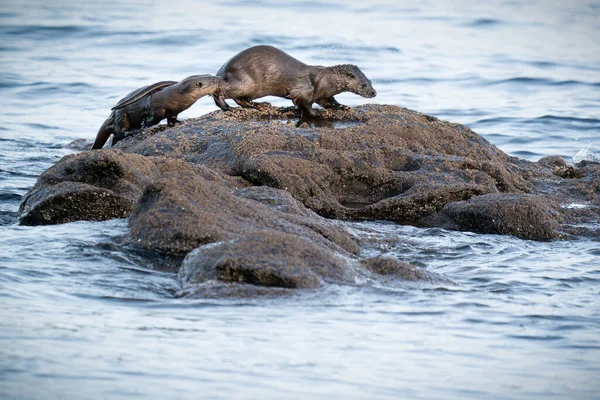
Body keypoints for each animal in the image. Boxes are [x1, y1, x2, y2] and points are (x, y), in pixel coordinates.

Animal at [92, 74, 224, 150]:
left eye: (212, 76)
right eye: (213, 80)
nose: (221, 79)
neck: (176, 96)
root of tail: (111, 117)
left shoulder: (175, 111)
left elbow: (172, 118)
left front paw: (178, 122)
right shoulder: (156, 107)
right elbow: (154, 117)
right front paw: (146, 123)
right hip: (121, 114)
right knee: (120, 130)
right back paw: (133, 131)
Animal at [213, 45, 378, 120]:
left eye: (370, 81)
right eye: (363, 85)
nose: (374, 92)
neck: (327, 80)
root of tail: (221, 70)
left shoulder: (322, 94)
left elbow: (328, 101)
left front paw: (343, 106)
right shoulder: (305, 91)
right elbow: (305, 105)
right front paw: (319, 113)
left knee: (242, 100)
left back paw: (261, 105)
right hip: (244, 82)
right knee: (221, 91)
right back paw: (228, 107)